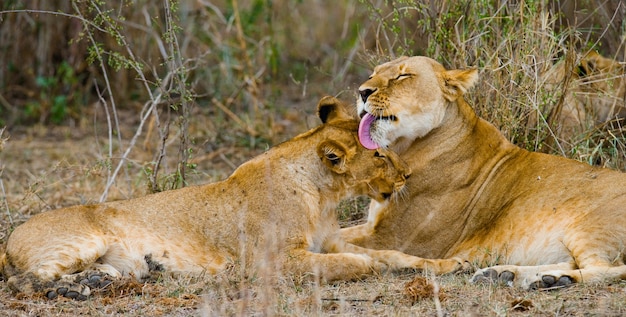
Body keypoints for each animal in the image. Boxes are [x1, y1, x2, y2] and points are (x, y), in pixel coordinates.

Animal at [0, 96, 464, 298]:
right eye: (381, 154)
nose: (407, 175)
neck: (324, 195)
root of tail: (9, 241)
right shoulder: (272, 261)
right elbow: (358, 262)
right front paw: (368, 266)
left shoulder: (330, 240)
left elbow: (396, 254)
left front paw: (451, 264)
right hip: (81, 242)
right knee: (27, 280)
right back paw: (77, 288)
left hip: (119, 263)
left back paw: (100, 280)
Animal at [344, 56, 624, 288]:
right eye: (373, 73)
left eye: (403, 76)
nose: (362, 92)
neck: (405, 146)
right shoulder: (374, 227)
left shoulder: (394, 238)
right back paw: (510, 275)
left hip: (591, 227)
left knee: (610, 268)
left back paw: (554, 279)